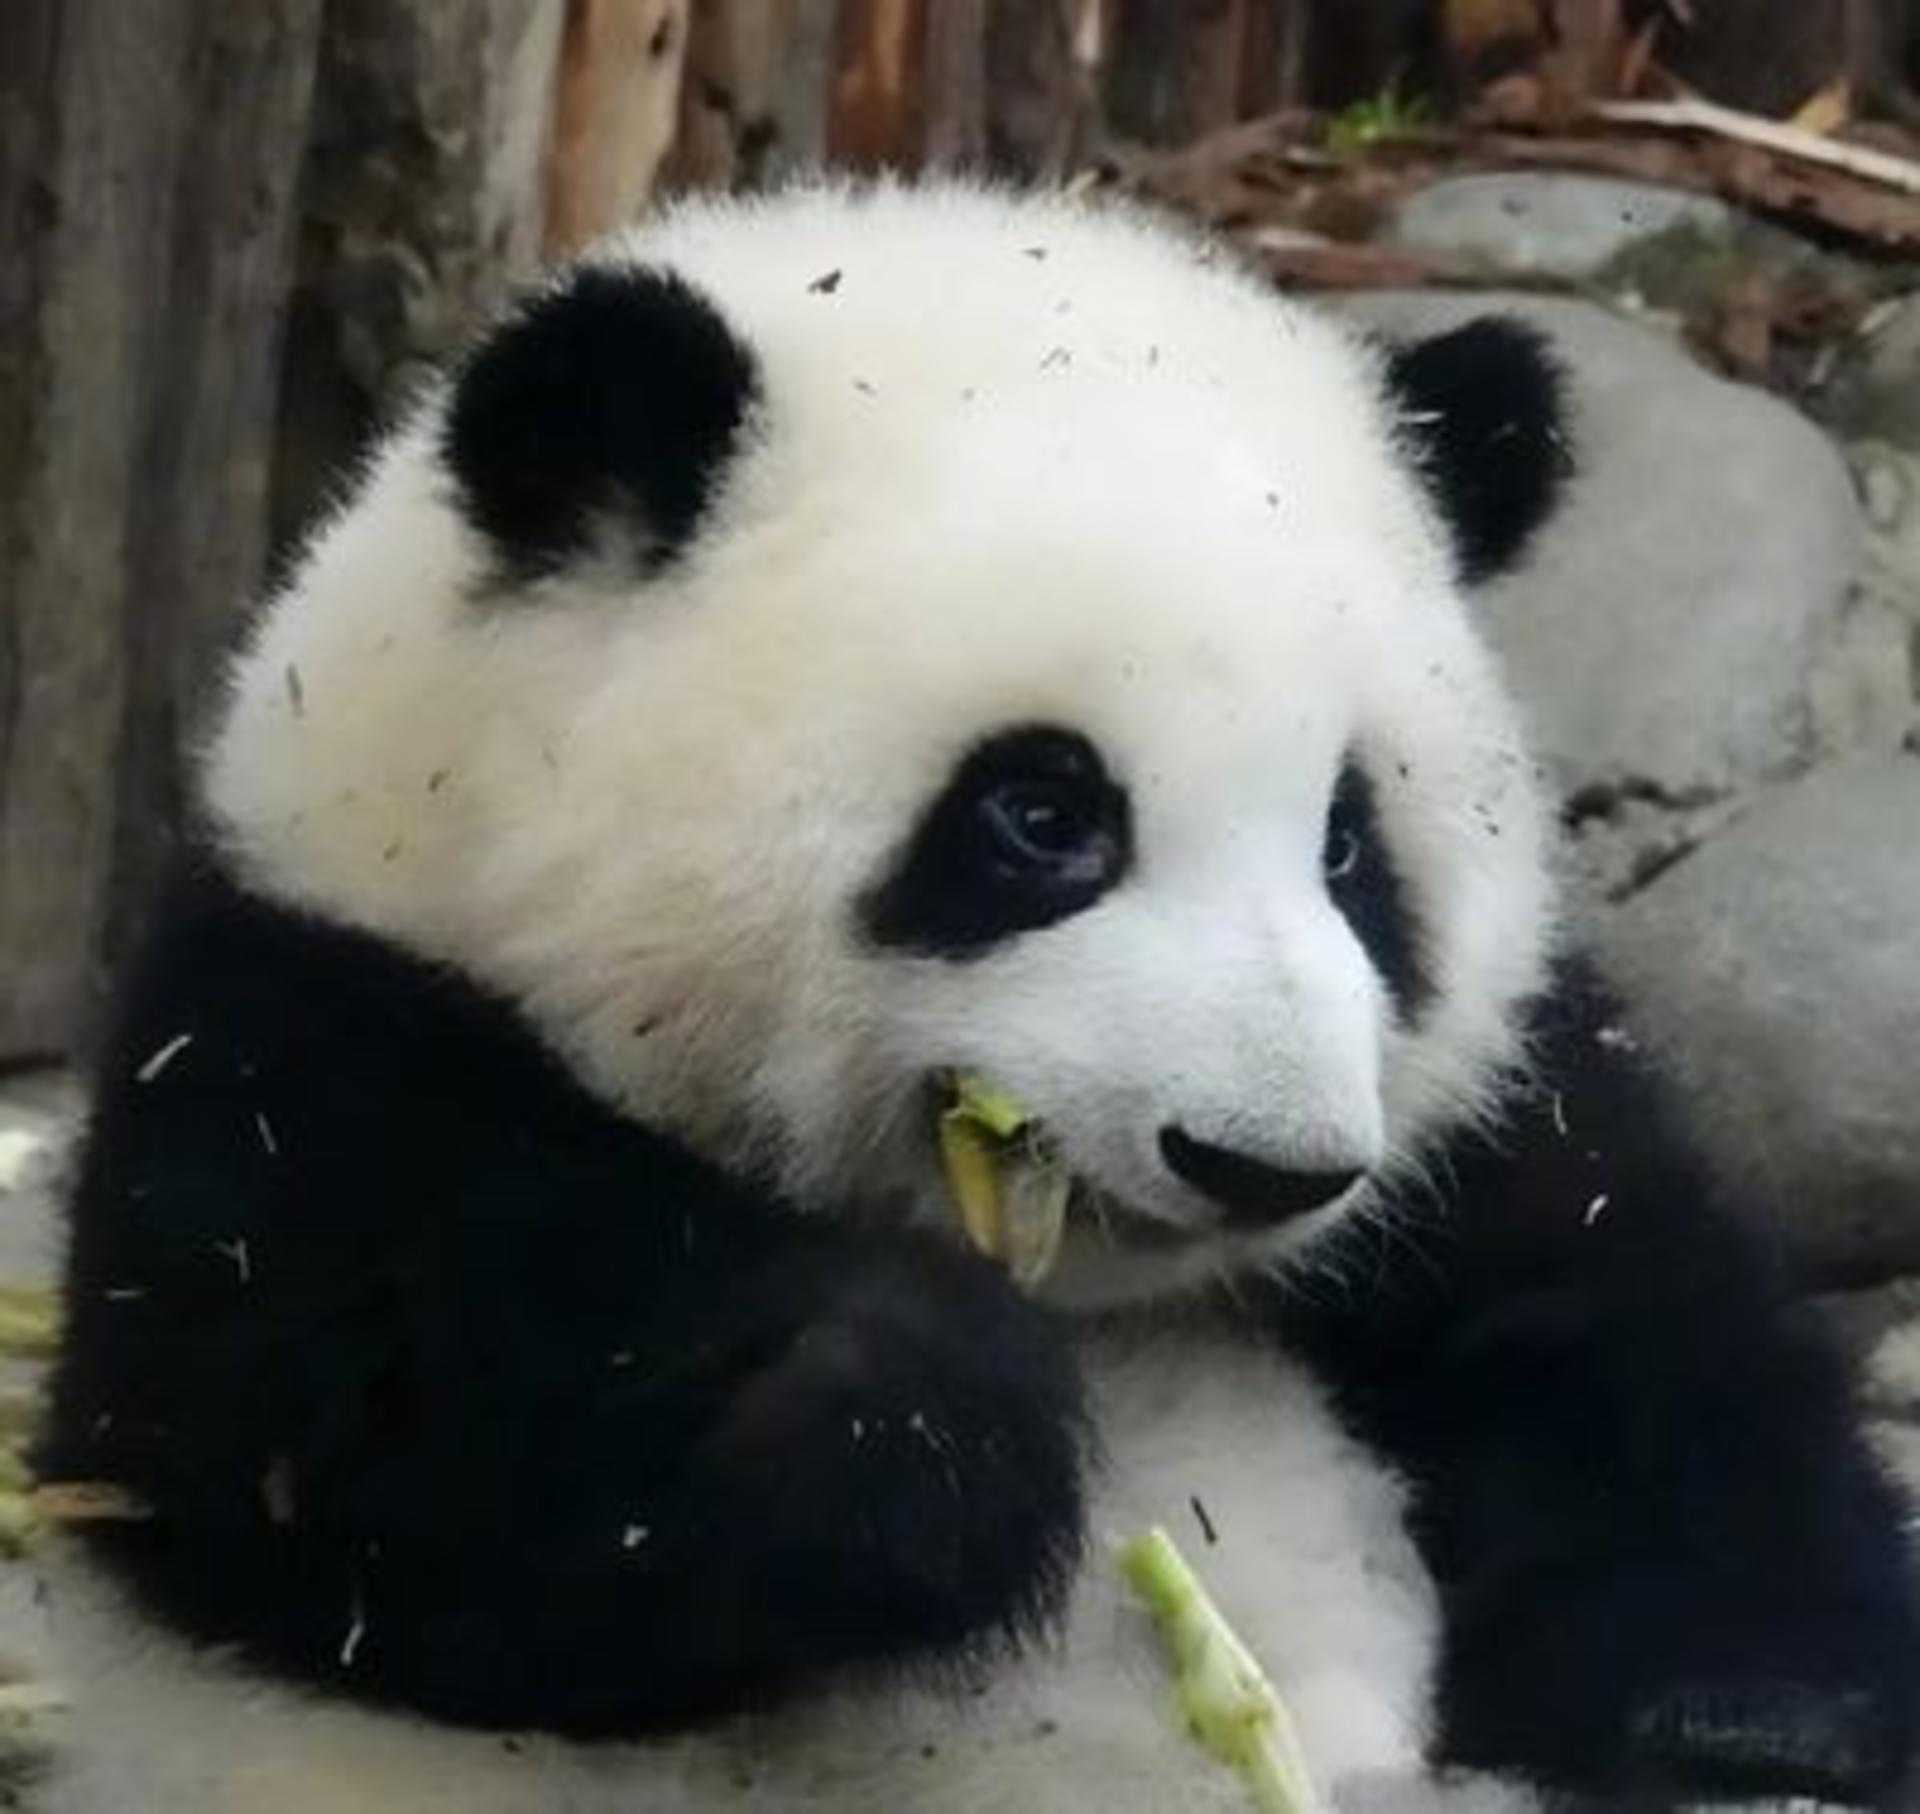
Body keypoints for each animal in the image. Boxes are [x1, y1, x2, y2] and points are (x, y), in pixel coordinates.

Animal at [35, 181, 1920, 1814]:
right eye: (1041, 815)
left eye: (1350, 840)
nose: (1268, 1163)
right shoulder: (302, 1029)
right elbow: (326, 1470)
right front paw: (936, 1423)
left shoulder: (1489, 1125)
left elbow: (1644, 1348)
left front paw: (1759, 1715)